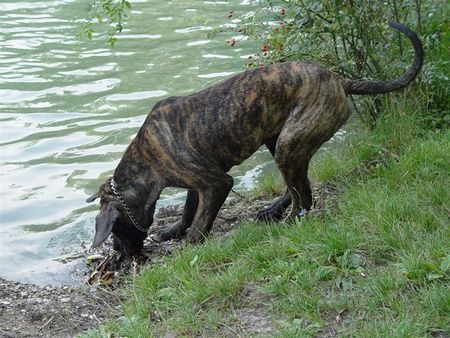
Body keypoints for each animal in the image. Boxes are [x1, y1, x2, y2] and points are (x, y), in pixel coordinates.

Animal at [87, 23, 422, 256]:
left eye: (115, 230)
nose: (117, 253)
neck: (146, 158)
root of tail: (338, 80)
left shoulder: (217, 183)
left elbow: (200, 222)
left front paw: (189, 247)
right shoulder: (200, 184)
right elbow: (188, 211)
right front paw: (173, 231)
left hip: (289, 141)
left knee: (304, 197)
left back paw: (288, 220)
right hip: (279, 141)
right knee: (295, 186)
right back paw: (272, 210)